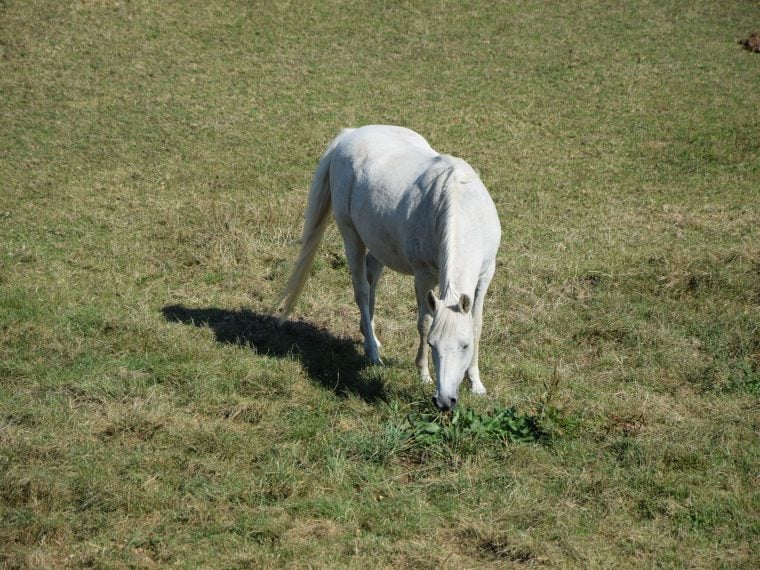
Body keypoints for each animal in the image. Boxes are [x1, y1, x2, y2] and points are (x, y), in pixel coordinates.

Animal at [276, 124, 502, 408]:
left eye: (464, 346)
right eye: (433, 345)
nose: (444, 401)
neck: (462, 208)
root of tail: (349, 134)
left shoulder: (485, 275)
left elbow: (477, 324)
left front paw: (476, 383)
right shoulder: (423, 276)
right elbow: (424, 322)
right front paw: (423, 374)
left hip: (377, 244)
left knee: (372, 279)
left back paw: (369, 335)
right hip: (351, 236)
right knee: (361, 289)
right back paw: (373, 352)